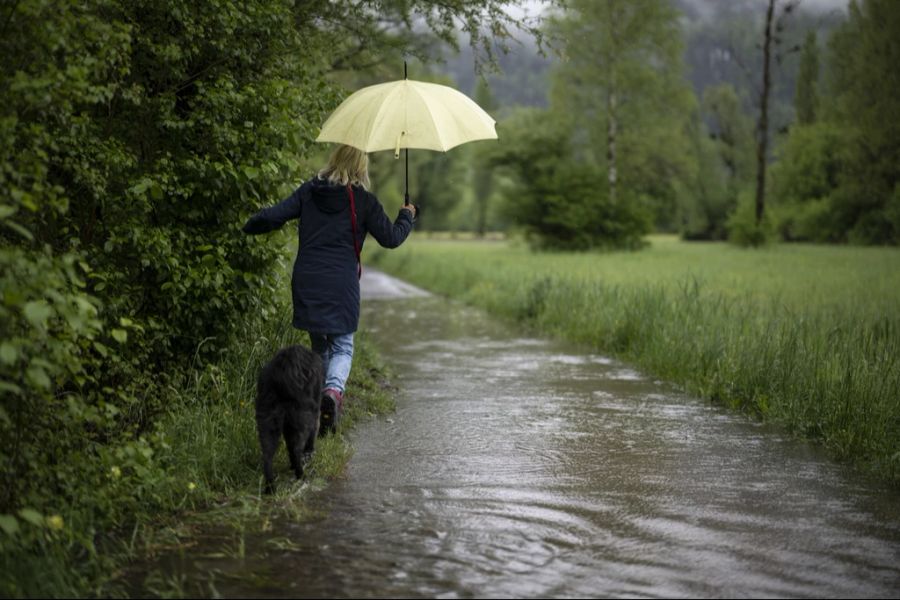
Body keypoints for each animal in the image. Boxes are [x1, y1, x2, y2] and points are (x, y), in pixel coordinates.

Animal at [253, 344, 324, 494]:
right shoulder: (315, 413)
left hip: (268, 422)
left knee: (267, 457)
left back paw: (270, 487)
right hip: (303, 419)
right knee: (297, 449)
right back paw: (301, 475)